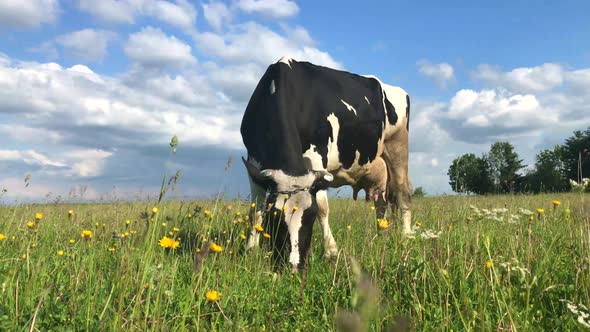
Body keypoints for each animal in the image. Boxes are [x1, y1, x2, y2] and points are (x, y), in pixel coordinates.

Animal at [240, 55, 412, 272]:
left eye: (310, 216)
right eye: (276, 217)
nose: (294, 266)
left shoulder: (318, 158)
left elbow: (323, 206)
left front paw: (330, 251)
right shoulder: (254, 162)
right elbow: (255, 209)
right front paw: (250, 250)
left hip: (398, 146)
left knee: (402, 192)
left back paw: (406, 236)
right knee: (381, 201)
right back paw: (381, 236)